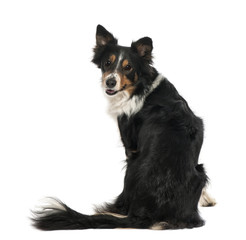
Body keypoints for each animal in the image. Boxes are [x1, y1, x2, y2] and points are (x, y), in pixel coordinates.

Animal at [31, 24, 214, 231]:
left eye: (128, 67)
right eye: (107, 63)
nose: (110, 82)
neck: (142, 86)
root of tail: (145, 214)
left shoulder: (130, 144)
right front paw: (206, 199)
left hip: (133, 165)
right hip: (200, 170)